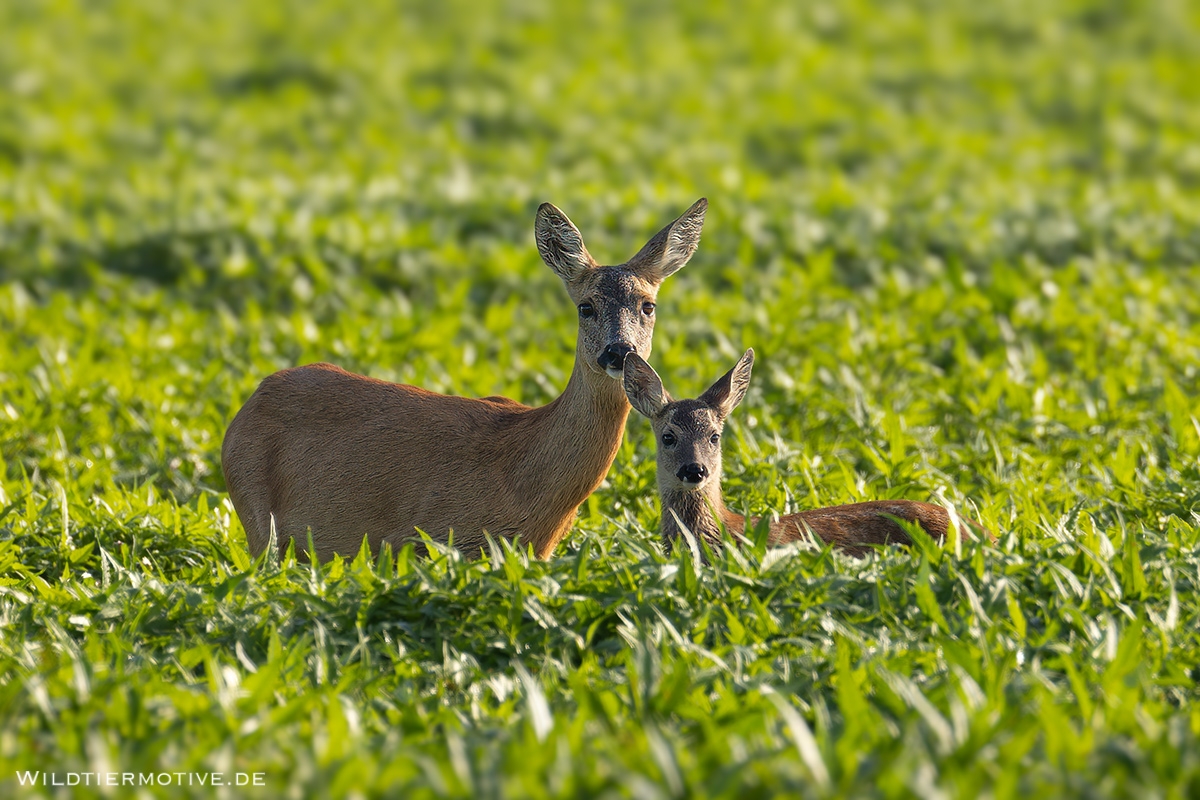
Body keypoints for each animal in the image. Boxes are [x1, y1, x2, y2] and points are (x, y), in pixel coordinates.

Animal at [222, 198, 709, 562]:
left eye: (648, 305)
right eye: (585, 306)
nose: (618, 352)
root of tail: (250, 402)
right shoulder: (424, 535)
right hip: (255, 512)